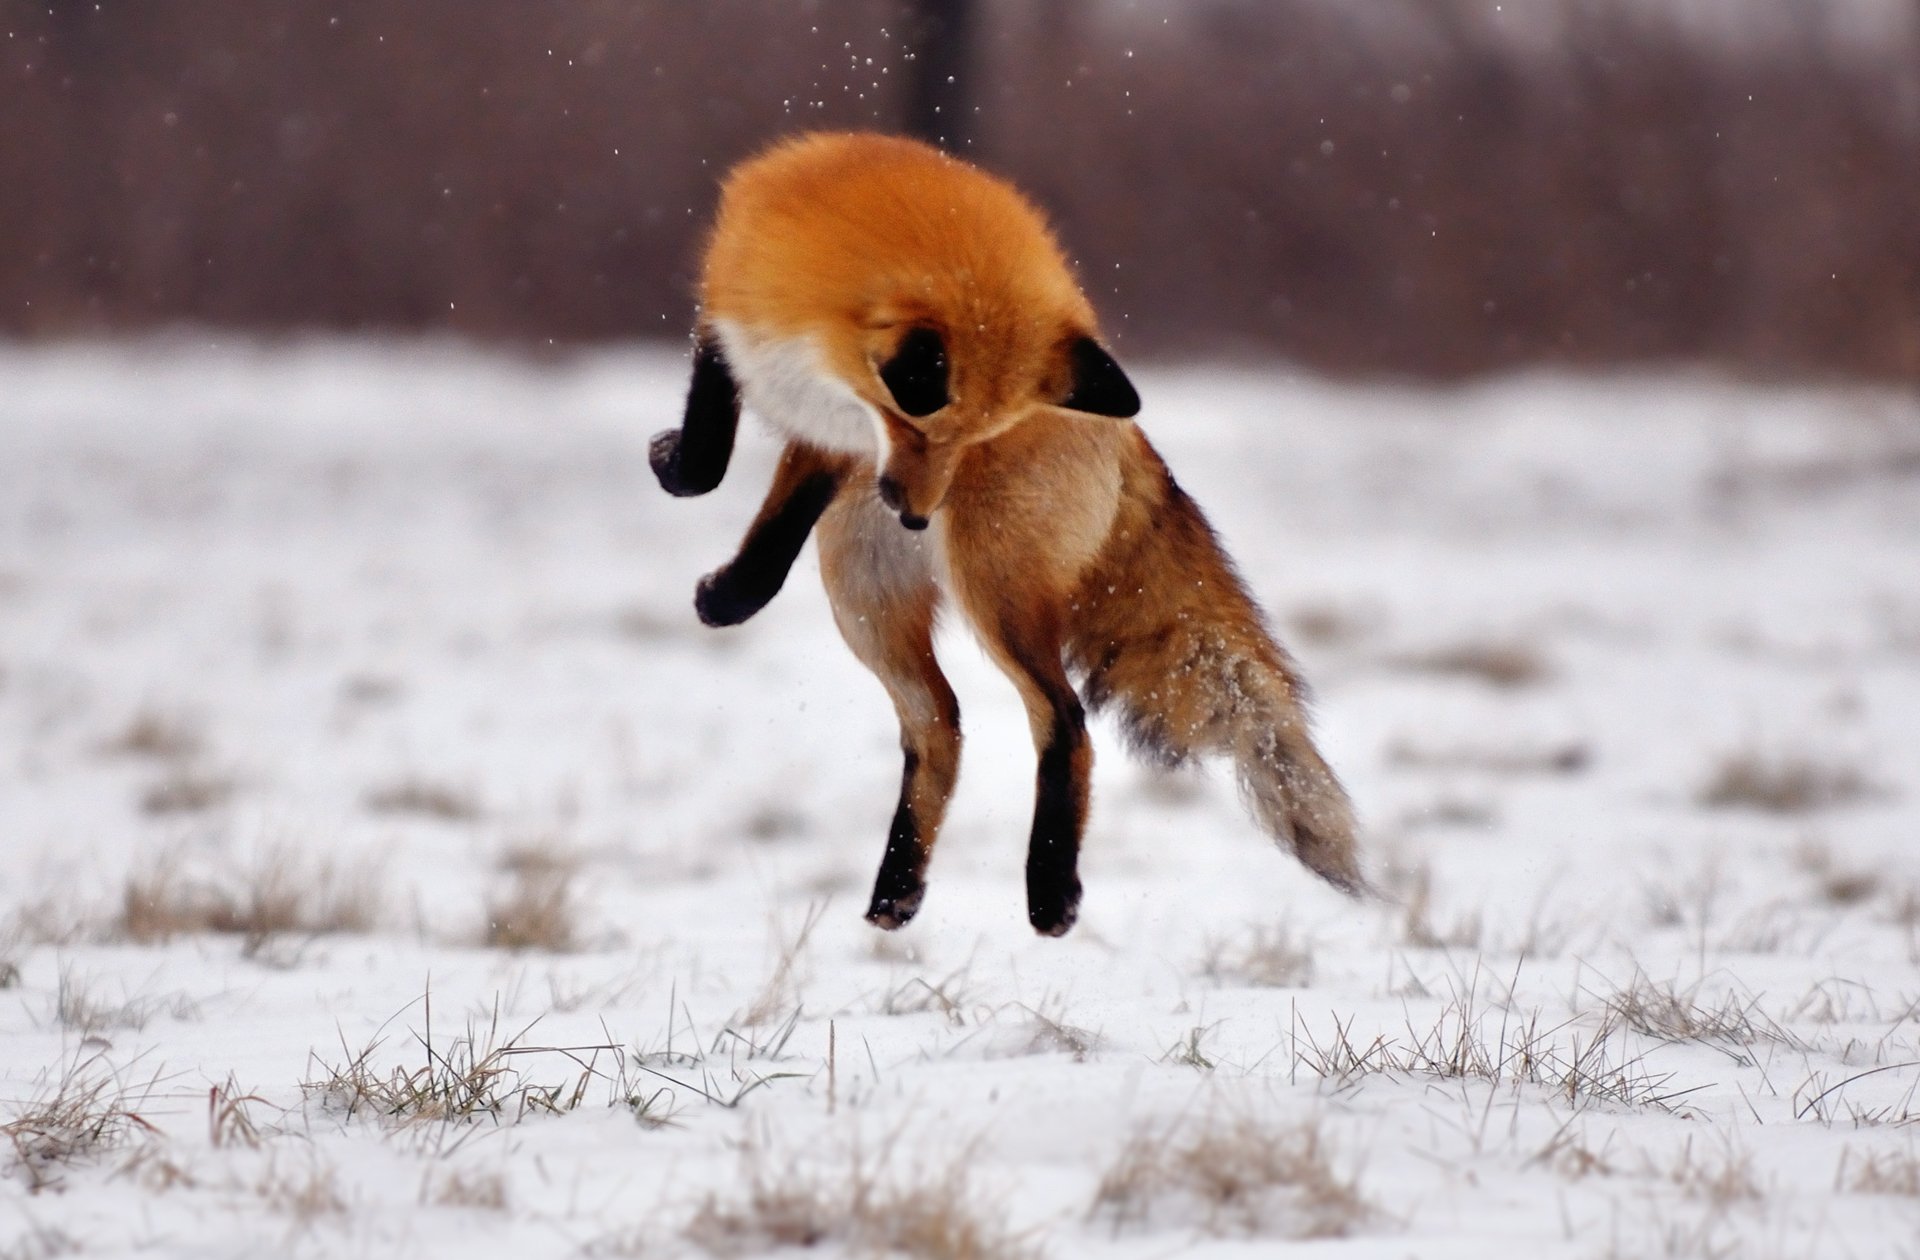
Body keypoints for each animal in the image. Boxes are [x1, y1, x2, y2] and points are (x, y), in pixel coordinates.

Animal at [649, 132, 1363, 935]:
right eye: (920, 427)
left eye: (970, 439)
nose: (913, 514)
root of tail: (1131, 433)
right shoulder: (780, 375)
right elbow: (753, 519)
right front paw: (725, 587)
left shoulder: (816, 412)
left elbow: (715, 470)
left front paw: (683, 496)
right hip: (863, 595)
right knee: (941, 725)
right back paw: (898, 892)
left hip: (990, 589)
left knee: (1065, 718)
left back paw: (1049, 890)